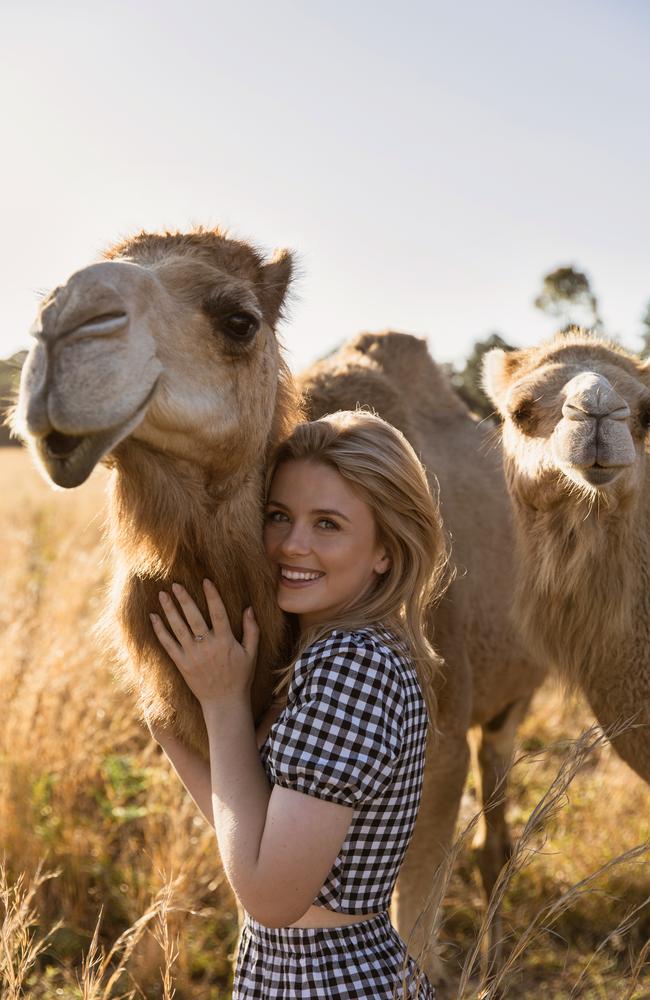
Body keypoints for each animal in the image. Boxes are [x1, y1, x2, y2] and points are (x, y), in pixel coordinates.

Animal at [12, 229, 544, 984]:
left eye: (239, 320)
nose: (61, 328)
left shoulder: (438, 750)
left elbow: (408, 926)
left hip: (510, 698)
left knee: (496, 819)